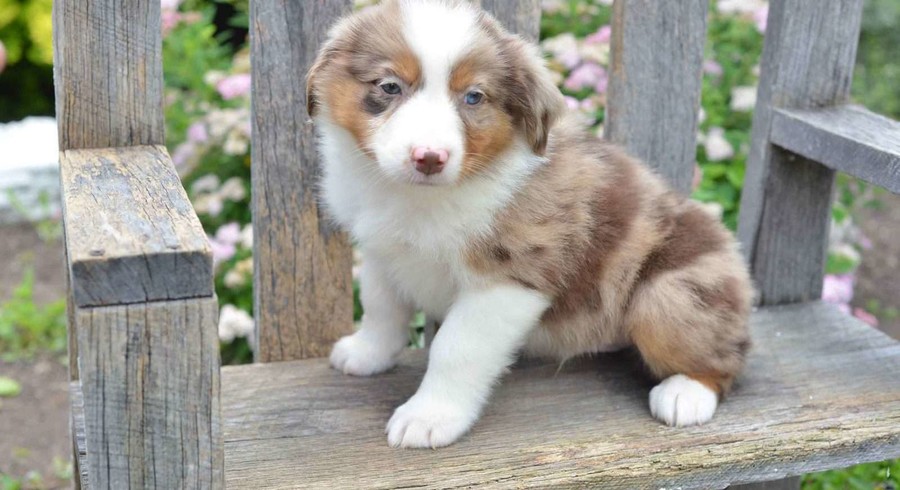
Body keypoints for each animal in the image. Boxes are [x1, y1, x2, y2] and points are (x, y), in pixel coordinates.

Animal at [306, 0, 756, 448]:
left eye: (474, 97)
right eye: (389, 87)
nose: (429, 158)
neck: (419, 197)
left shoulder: (509, 277)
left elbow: (455, 348)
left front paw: (429, 416)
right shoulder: (383, 253)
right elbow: (382, 308)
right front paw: (366, 353)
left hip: (668, 294)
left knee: (729, 359)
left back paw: (686, 393)